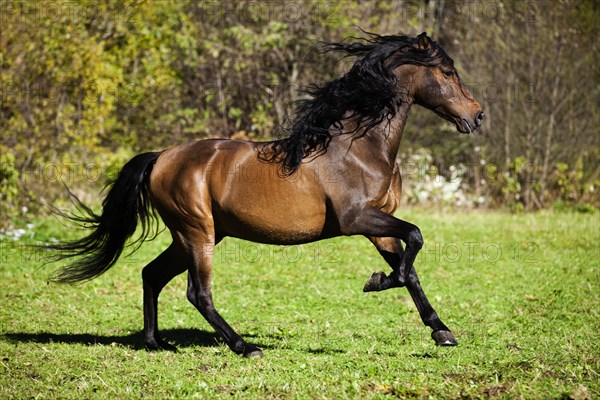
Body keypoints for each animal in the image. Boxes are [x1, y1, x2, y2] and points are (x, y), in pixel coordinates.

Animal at [51, 31, 482, 356]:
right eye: (447, 71)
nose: (476, 116)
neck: (361, 145)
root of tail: (161, 158)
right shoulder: (357, 219)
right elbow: (414, 242)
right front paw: (377, 281)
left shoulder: (377, 226)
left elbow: (411, 268)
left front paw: (441, 331)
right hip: (197, 233)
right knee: (197, 292)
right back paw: (244, 346)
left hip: (193, 235)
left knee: (152, 274)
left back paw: (156, 343)